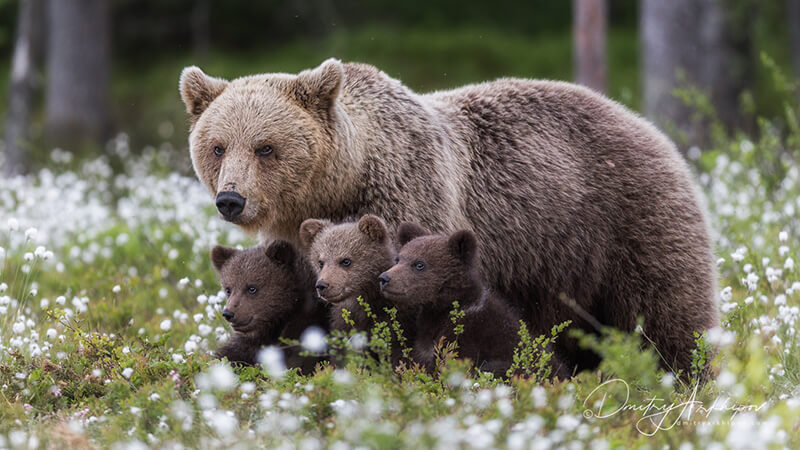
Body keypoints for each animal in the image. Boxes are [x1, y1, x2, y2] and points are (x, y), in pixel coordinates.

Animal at [180, 60, 720, 376]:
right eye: (218, 146)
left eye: (265, 147)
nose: (231, 200)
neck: (337, 184)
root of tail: (647, 125)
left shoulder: (407, 196)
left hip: (624, 220)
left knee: (667, 311)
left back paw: (685, 378)